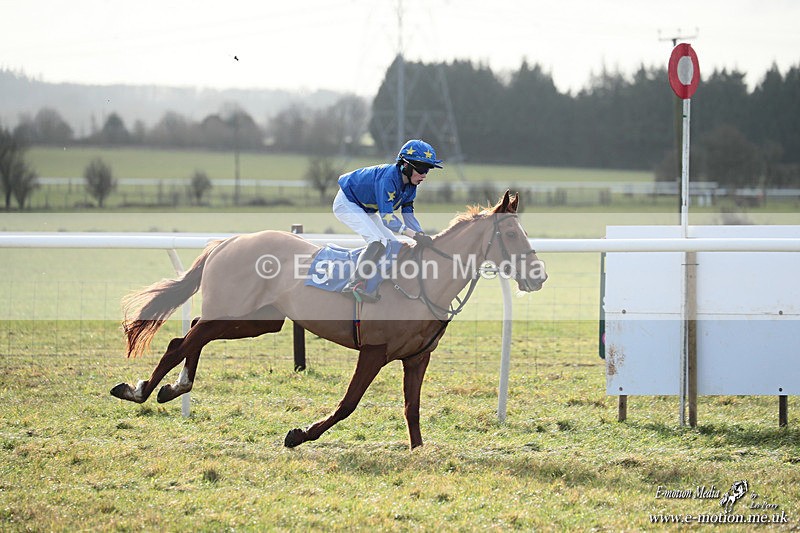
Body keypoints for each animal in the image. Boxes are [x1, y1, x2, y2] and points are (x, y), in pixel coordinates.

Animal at [110, 191, 547, 449]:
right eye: (510, 234)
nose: (538, 275)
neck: (424, 281)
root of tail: (227, 241)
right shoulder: (373, 350)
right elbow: (348, 404)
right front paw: (298, 435)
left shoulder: (417, 357)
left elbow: (412, 407)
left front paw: (418, 451)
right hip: (237, 312)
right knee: (184, 339)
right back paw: (141, 390)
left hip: (257, 320)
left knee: (193, 333)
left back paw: (173, 387)